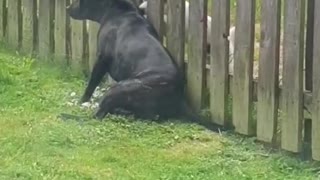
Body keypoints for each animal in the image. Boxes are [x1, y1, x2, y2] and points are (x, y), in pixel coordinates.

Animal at [66, 0, 194, 121]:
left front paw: (82, 100)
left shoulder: (101, 59)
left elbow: (91, 84)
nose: (67, 8)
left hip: (121, 87)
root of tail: (179, 97)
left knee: (98, 115)